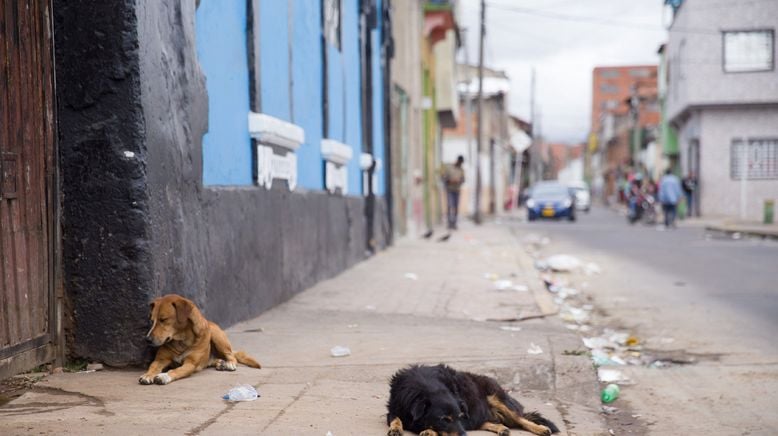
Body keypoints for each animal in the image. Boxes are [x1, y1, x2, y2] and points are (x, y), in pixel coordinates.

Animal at [384, 364, 556, 436]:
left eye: (459, 417)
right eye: (444, 419)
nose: (463, 435)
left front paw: (428, 431)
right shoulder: (394, 408)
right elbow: (396, 418)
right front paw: (396, 428)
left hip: (497, 398)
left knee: (520, 419)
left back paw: (540, 429)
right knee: (485, 422)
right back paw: (501, 428)